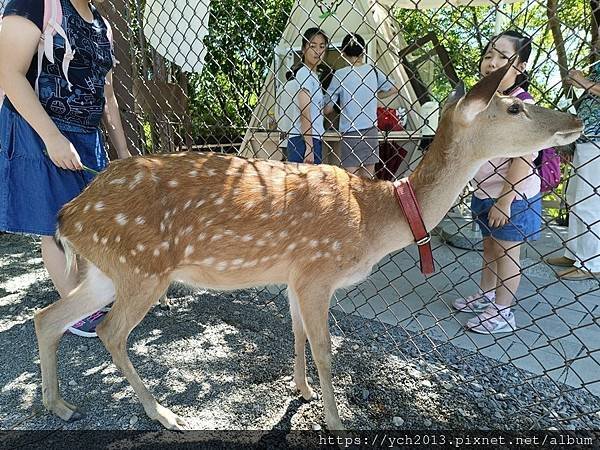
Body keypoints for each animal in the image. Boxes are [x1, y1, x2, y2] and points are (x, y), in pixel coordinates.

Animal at [32, 64, 580, 428]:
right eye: (514, 105)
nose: (574, 123)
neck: (375, 220)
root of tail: (67, 213)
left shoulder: (296, 275)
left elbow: (297, 336)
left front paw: (301, 391)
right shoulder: (319, 271)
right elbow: (325, 349)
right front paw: (337, 421)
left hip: (107, 270)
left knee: (48, 317)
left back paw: (58, 404)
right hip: (143, 267)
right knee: (109, 331)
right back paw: (164, 414)